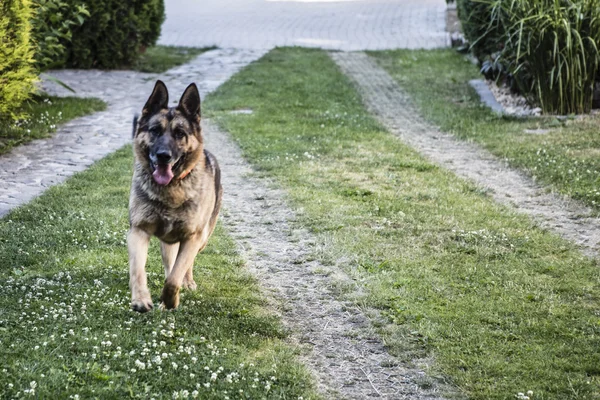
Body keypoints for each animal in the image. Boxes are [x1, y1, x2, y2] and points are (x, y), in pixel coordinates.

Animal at [127, 80, 221, 312]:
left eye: (180, 133)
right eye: (154, 130)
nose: (163, 156)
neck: (171, 189)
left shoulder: (192, 237)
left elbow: (174, 279)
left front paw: (171, 300)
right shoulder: (138, 231)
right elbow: (138, 270)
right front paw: (141, 300)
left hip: (202, 238)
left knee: (184, 267)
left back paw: (187, 283)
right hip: (168, 243)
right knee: (170, 264)